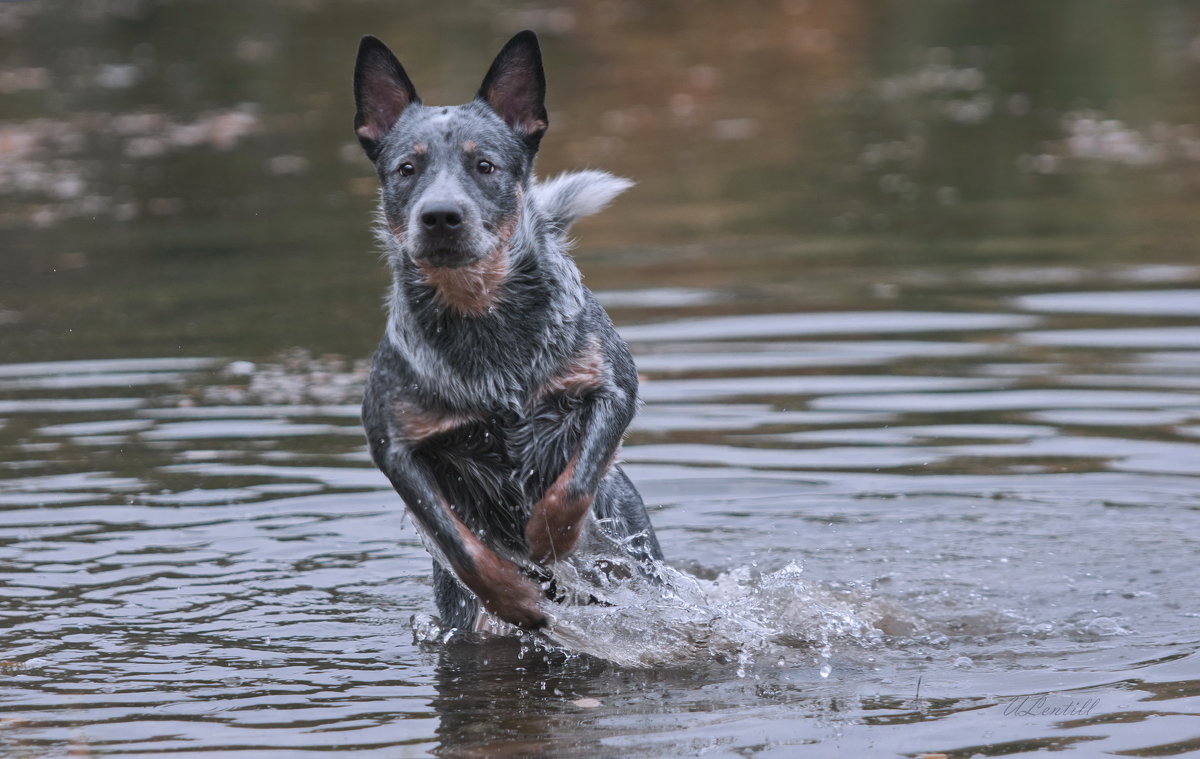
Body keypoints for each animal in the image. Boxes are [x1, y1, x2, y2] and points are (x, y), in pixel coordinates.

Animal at [352, 31, 667, 634]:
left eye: (485, 165)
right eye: (406, 168)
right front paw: (513, 595)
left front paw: (547, 539)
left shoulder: (613, 387)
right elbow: (461, 545)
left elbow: (572, 486)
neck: (481, 316)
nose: (441, 215)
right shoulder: (393, 443)